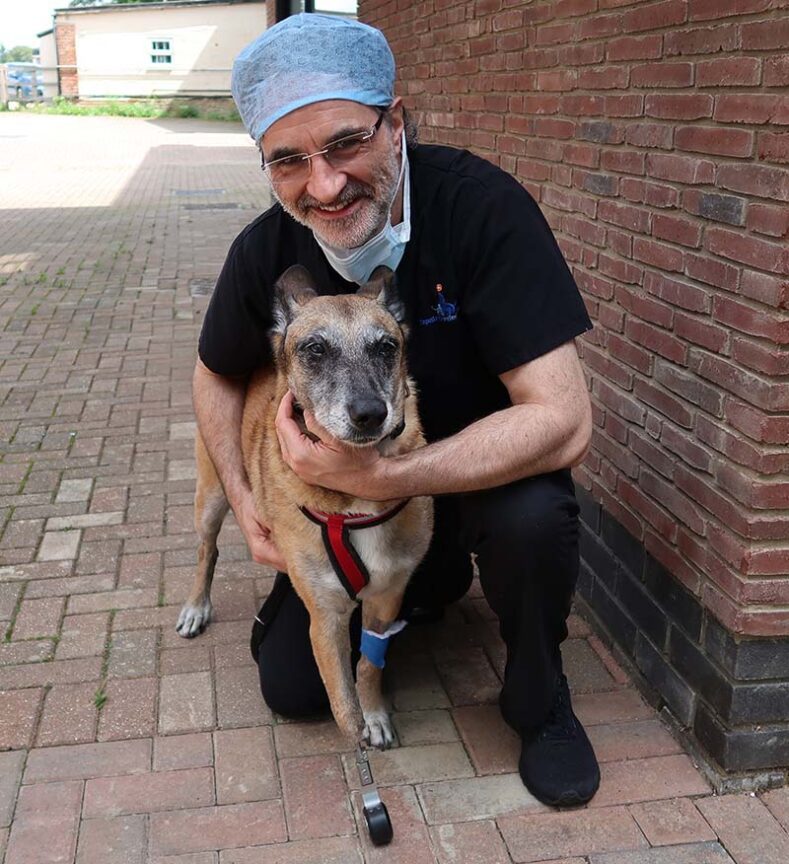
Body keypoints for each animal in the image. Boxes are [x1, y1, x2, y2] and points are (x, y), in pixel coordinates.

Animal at [179, 264, 434, 748]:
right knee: (206, 551)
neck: (352, 503)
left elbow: (368, 666)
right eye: (315, 348)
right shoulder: (325, 618)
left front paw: (375, 714)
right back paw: (196, 606)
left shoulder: (386, 599)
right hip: (212, 497)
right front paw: (360, 737)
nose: (370, 413)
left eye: (386, 346)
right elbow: (343, 708)